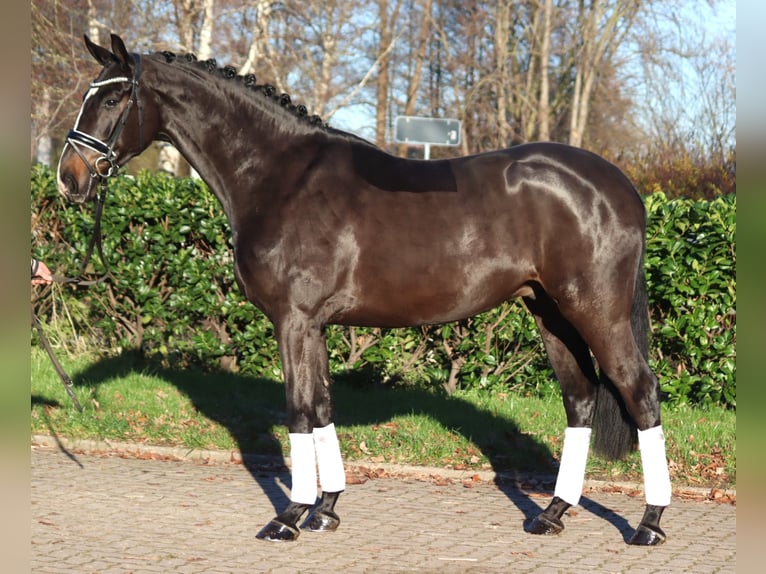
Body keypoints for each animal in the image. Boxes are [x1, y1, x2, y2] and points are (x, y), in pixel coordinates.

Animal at [56, 33, 671, 546]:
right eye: (89, 94)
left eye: (114, 98)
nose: (69, 178)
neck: (280, 177)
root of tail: (621, 187)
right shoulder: (314, 326)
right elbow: (322, 406)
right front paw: (325, 509)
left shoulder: (293, 319)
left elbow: (298, 411)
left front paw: (289, 516)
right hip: (551, 313)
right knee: (581, 398)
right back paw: (552, 513)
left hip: (596, 312)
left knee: (640, 393)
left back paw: (648, 524)